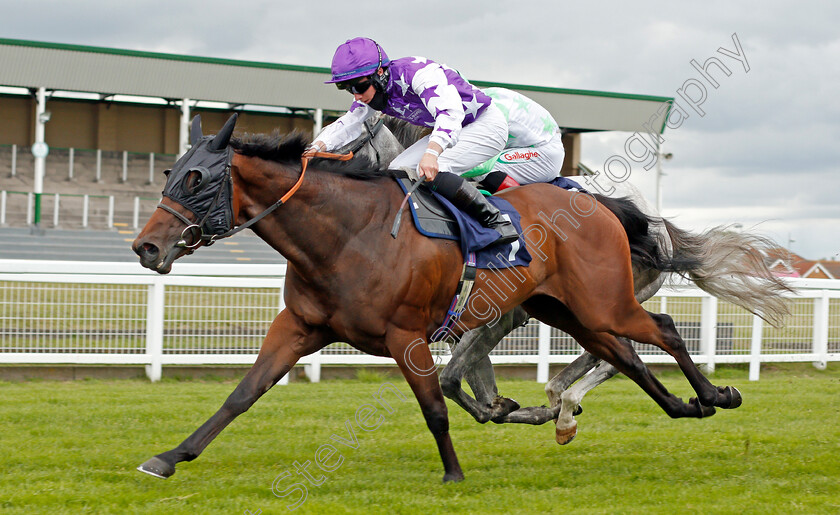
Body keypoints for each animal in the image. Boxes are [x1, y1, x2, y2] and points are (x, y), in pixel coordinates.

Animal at [133, 114, 748, 484]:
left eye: (196, 180)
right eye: (168, 174)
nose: (146, 246)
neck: (348, 233)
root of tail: (605, 206)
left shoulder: (407, 336)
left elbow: (434, 405)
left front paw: (453, 473)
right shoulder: (300, 327)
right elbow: (241, 395)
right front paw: (170, 456)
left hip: (603, 302)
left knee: (661, 329)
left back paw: (715, 394)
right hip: (568, 310)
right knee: (623, 354)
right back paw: (676, 406)